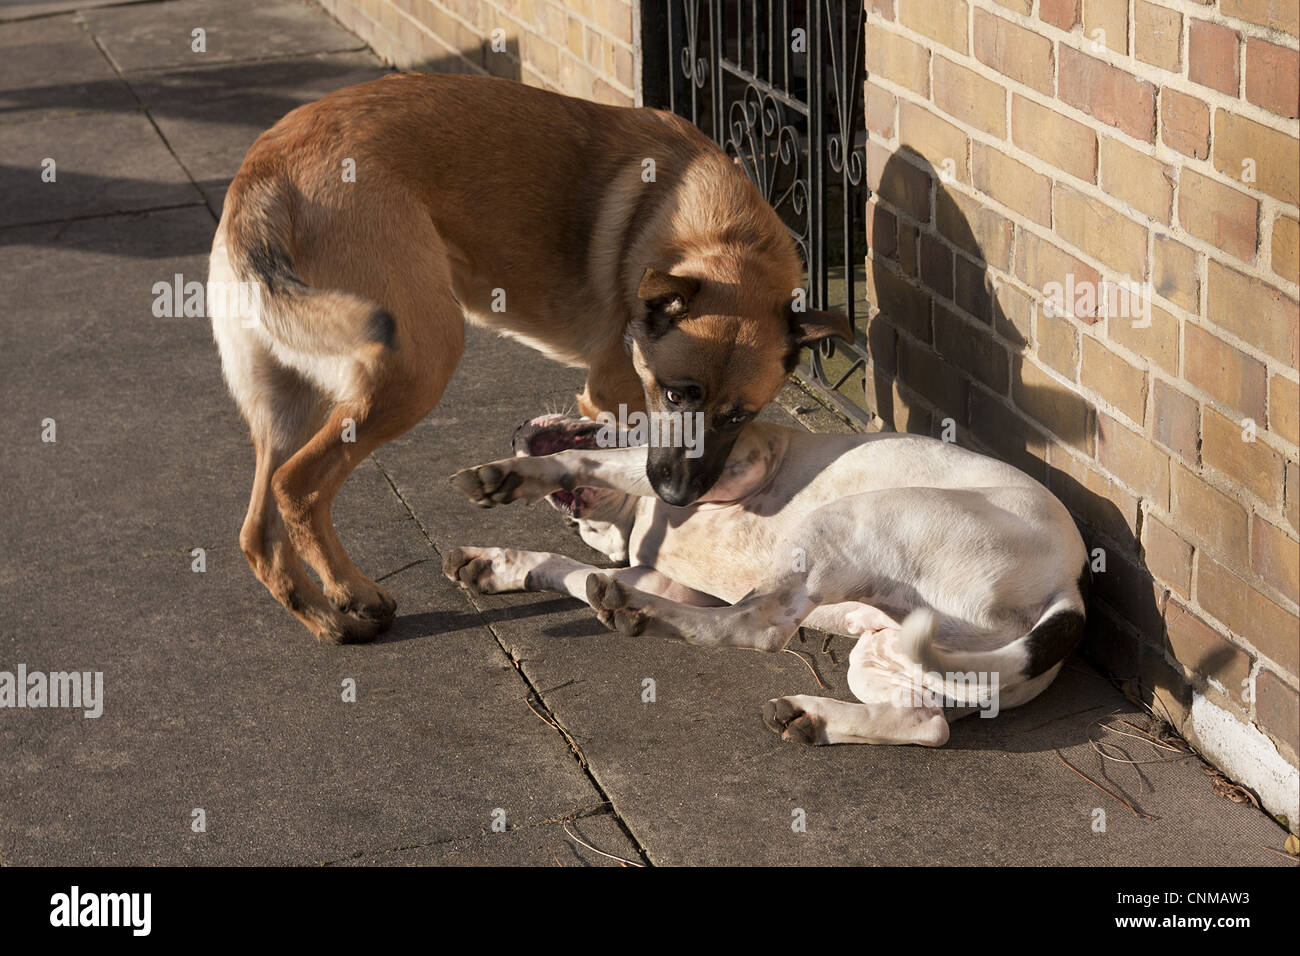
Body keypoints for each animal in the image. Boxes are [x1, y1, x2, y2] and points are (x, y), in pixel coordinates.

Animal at [208, 72, 847, 642]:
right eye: (674, 394)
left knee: (257, 530)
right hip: (417, 366)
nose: (680, 499)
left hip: (286, 403)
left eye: (740, 416)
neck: (727, 243)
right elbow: (607, 458)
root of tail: (265, 170)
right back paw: (351, 591)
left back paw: (328, 622)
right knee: (298, 486)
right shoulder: (614, 396)